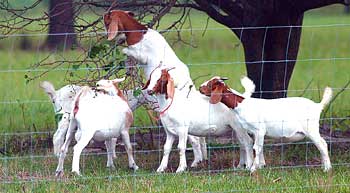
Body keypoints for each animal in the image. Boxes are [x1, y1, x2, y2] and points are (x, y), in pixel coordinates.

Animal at [200, 76, 334, 173]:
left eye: (210, 85)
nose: (200, 88)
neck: (242, 104)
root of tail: (318, 106)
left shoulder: (260, 129)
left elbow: (256, 148)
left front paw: (253, 169)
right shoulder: (254, 132)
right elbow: (257, 147)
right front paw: (259, 166)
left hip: (311, 129)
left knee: (322, 144)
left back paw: (327, 169)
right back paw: (324, 166)